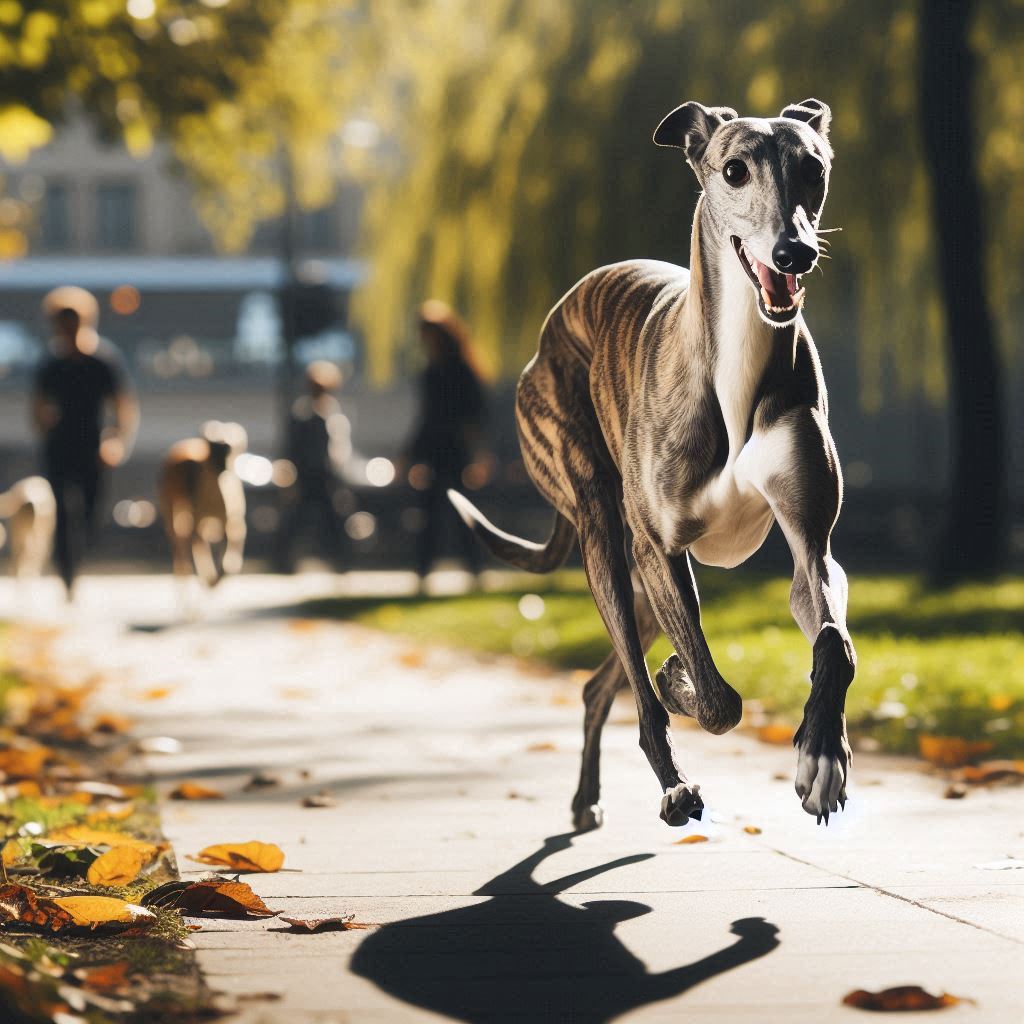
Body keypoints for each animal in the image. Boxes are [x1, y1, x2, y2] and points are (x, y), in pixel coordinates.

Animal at [450, 97, 856, 831]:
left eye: (813, 169)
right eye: (734, 170)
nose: (795, 251)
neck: (734, 368)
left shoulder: (811, 543)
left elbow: (833, 645)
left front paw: (823, 759)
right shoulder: (660, 550)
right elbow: (718, 699)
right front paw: (678, 681)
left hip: (640, 590)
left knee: (597, 684)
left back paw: (592, 791)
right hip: (607, 538)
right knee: (633, 677)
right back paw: (672, 783)